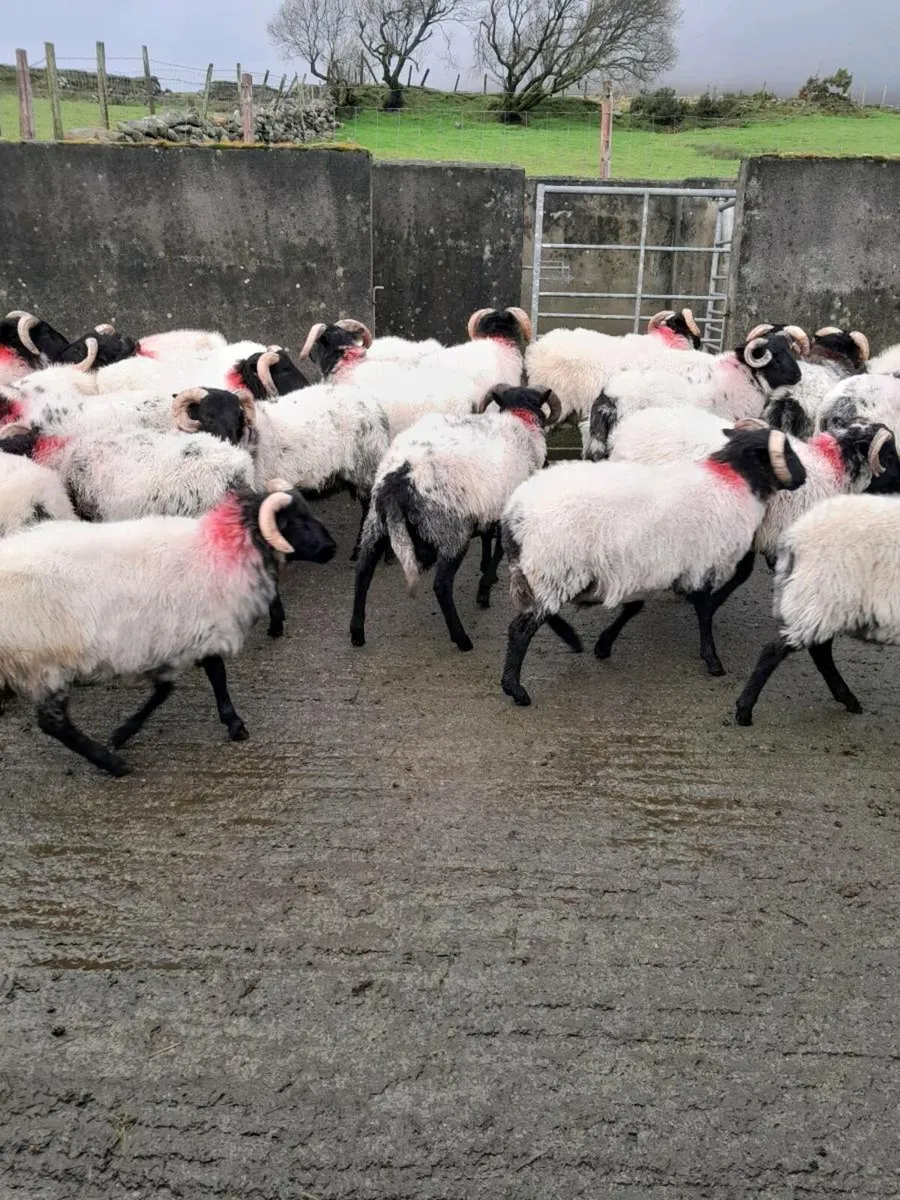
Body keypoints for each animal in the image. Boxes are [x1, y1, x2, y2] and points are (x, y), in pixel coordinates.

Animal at [0, 483, 336, 775]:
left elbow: (199, 679)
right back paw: (113, 764)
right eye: (297, 521)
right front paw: (123, 734)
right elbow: (189, 683)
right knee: (54, 724)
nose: (332, 548)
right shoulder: (183, 635)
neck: (222, 549)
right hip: (42, 659)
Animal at [350, 386, 561, 652]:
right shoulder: (505, 511)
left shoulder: (487, 507)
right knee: (441, 585)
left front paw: (486, 569)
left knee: (363, 570)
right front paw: (485, 588)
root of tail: (401, 477)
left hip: (375, 523)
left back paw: (357, 631)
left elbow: (487, 538)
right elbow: (499, 550)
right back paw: (461, 638)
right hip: (451, 531)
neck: (519, 420)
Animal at [498, 427, 807, 707]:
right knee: (520, 628)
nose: (803, 477)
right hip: (556, 569)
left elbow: (635, 608)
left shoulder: (649, 569)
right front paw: (712, 660)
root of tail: (515, 513)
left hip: (547, 572)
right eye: (787, 452)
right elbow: (704, 610)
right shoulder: (698, 563)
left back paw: (571, 640)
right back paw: (516, 689)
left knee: (541, 613)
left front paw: (604, 645)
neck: (731, 482)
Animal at [734, 495, 900, 727]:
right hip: (823, 594)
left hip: (822, 600)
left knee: (818, 648)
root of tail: (796, 536)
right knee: (780, 649)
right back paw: (744, 710)